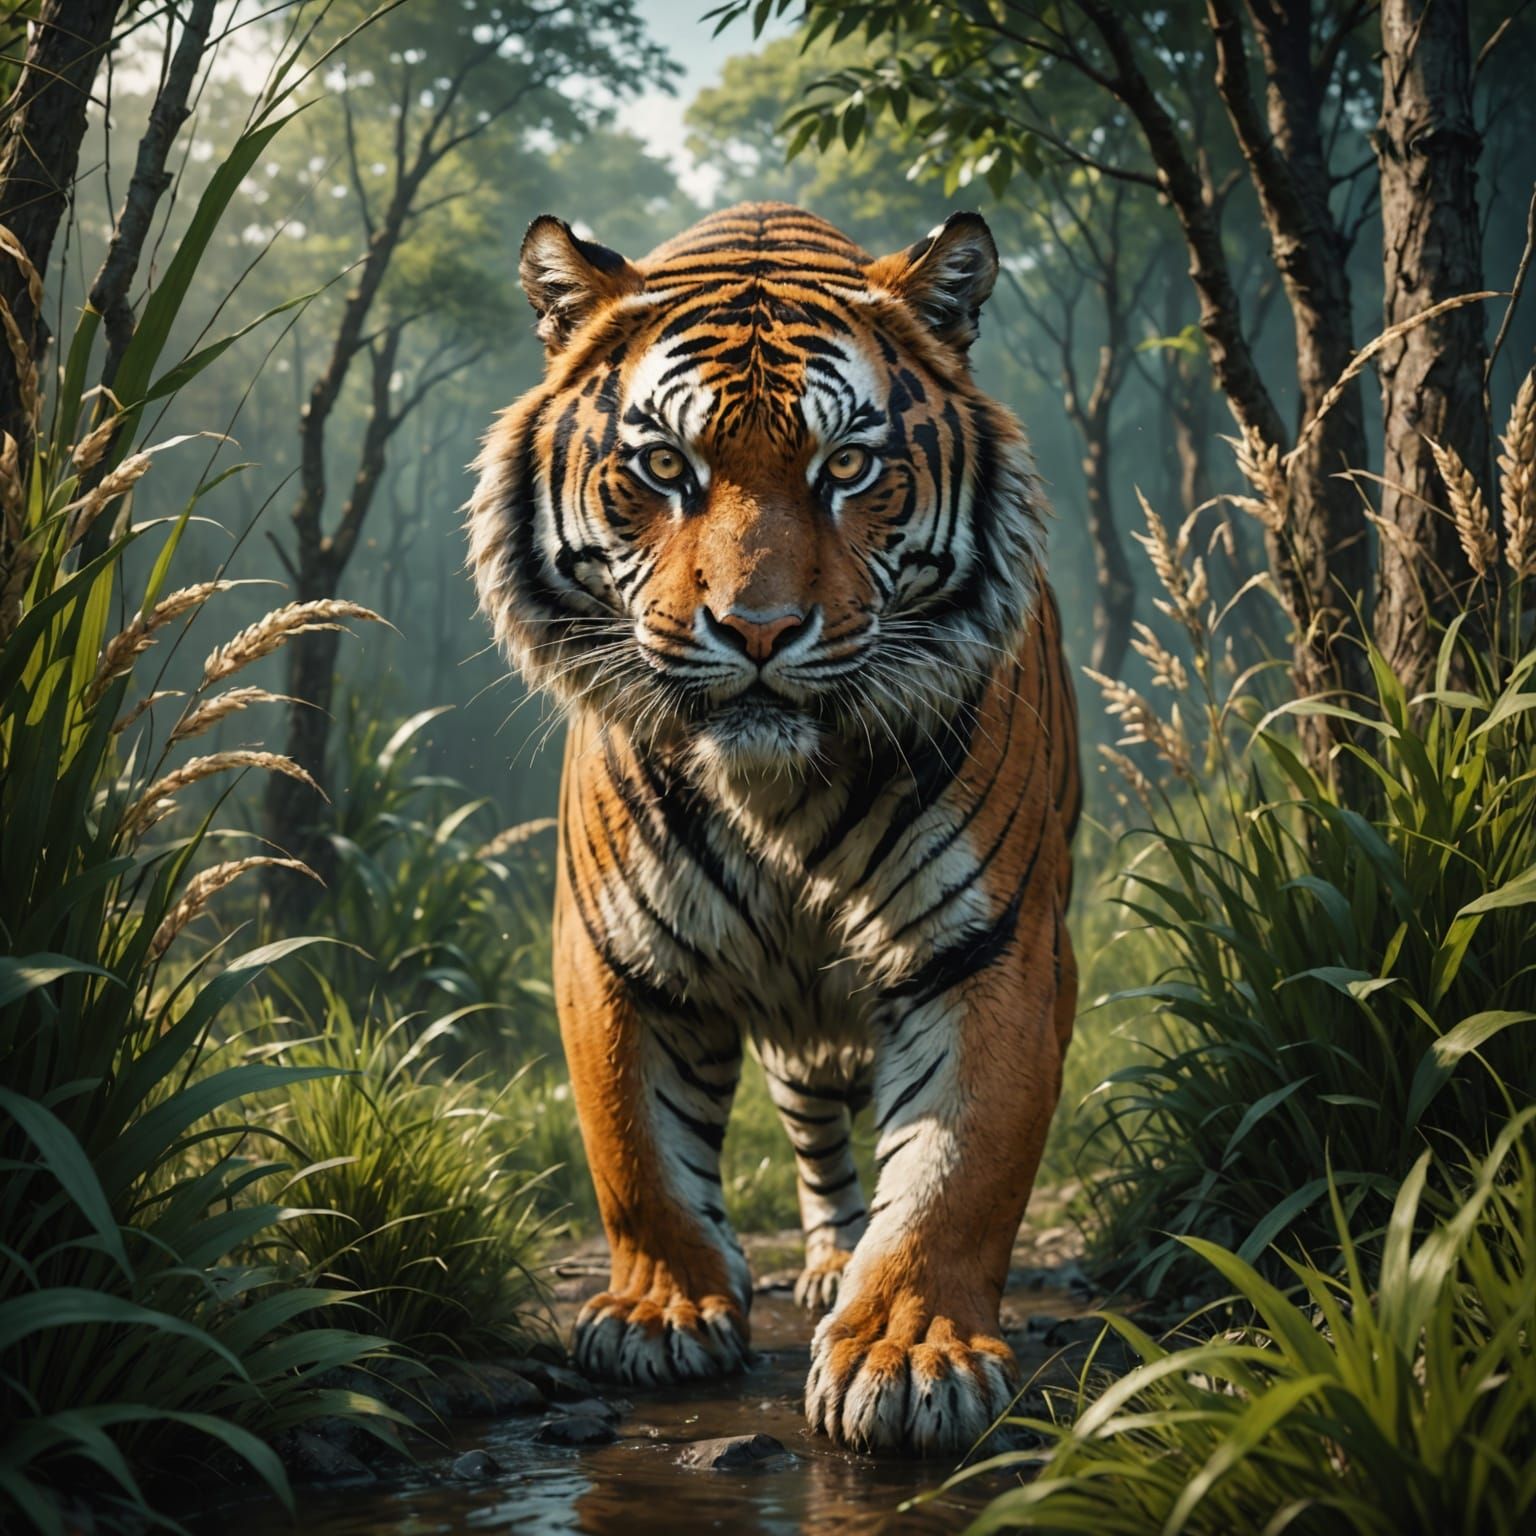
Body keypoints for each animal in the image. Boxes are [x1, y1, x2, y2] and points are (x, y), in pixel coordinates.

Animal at [468, 202, 1079, 1457]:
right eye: (664, 466)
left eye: (846, 466)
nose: (757, 629)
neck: (775, 796)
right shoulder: (613, 946)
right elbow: (635, 1149)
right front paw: (659, 1313)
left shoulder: (992, 944)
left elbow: (959, 1167)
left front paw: (910, 1353)